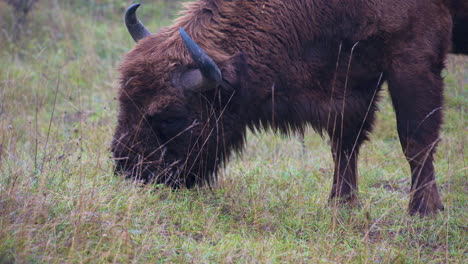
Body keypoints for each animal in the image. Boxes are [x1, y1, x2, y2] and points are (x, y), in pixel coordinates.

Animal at [111, 0, 466, 216]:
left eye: (170, 117)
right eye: (123, 100)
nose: (130, 171)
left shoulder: (413, 56)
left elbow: (416, 139)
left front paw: (424, 210)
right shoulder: (351, 75)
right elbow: (345, 143)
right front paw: (341, 205)